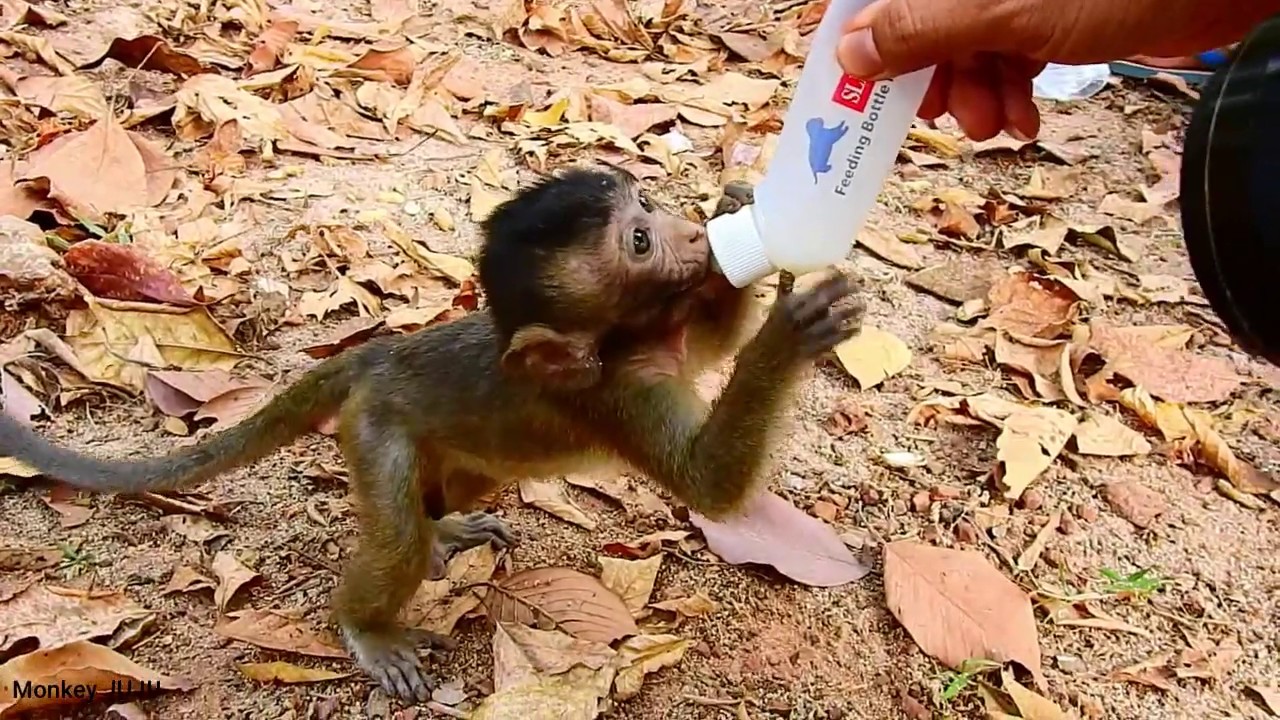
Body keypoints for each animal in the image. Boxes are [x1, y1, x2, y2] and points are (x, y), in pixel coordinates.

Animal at [0, 165, 864, 702]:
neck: (625, 341)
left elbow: (710, 342)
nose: (685, 232)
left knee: (466, 478)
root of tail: (376, 352)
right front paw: (791, 332)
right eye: (640, 241)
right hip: (373, 427)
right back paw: (370, 621)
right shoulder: (616, 392)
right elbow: (707, 484)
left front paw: (734, 212)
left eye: (647, 203)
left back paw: (447, 523)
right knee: (396, 544)